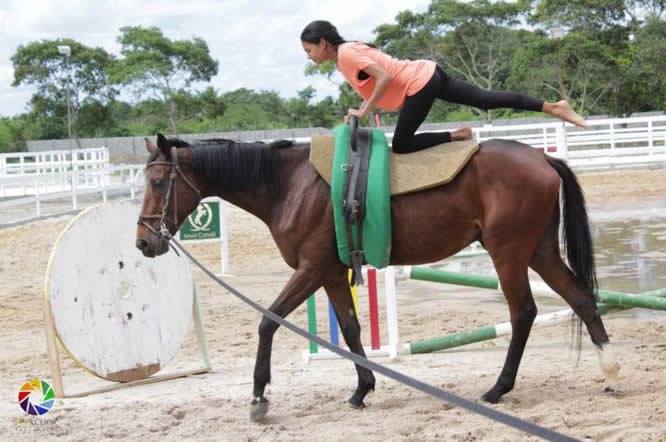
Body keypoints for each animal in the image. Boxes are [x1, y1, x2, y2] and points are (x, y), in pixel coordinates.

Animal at [135, 132, 616, 422]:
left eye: (158, 183)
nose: (143, 242)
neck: (290, 185)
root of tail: (541, 159)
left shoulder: (311, 270)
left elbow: (268, 321)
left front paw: (259, 397)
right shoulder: (330, 274)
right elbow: (350, 328)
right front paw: (363, 388)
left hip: (509, 254)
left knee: (523, 312)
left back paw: (499, 388)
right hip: (539, 252)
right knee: (580, 298)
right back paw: (610, 372)